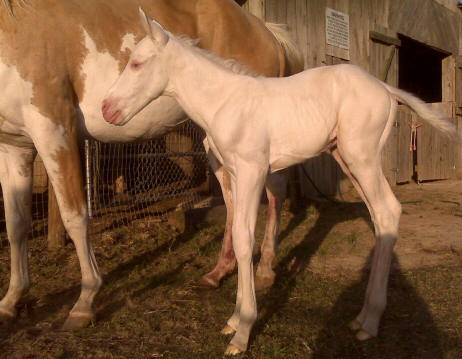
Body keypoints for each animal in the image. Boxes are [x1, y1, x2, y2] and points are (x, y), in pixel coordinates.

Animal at [0, 0, 304, 330]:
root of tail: (267, 33)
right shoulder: (14, 147)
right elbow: (16, 224)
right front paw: (11, 299)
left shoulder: (55, 132)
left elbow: (75, 218)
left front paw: (84, 302)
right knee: (232, 200)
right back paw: (219, 271)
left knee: (275, 192)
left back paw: (265, 269)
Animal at [102, 8, 458, 358]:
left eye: (137, 63)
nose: (107, 109)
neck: (224, 103)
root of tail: (386, 89)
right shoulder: (235, 174)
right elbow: (240, 237)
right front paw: (233, 320)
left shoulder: (252, 172)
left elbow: (245, 240)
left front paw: (243, 330)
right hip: (346, 156)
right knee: (380, 217)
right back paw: (361, 318)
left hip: (363, 157)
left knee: (387, 211)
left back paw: (370, 322)